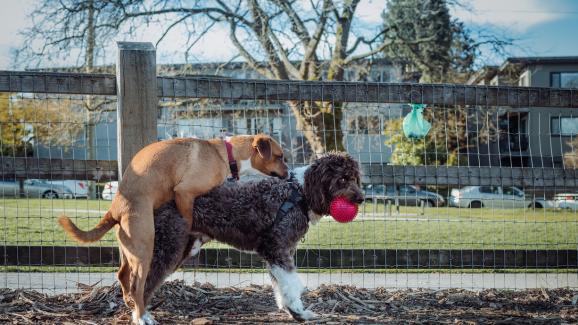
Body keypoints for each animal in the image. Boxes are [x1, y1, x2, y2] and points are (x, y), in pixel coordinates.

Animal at [57, 133, 286, 322]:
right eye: (280, 156)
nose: (288, 173)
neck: (225, 154)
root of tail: (115, 209)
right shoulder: (184, 193)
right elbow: (189, 221)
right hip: (145, 249)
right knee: (137, 286)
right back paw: (143, 316)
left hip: (130, 250)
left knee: (122, 276)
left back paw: (130, 304)